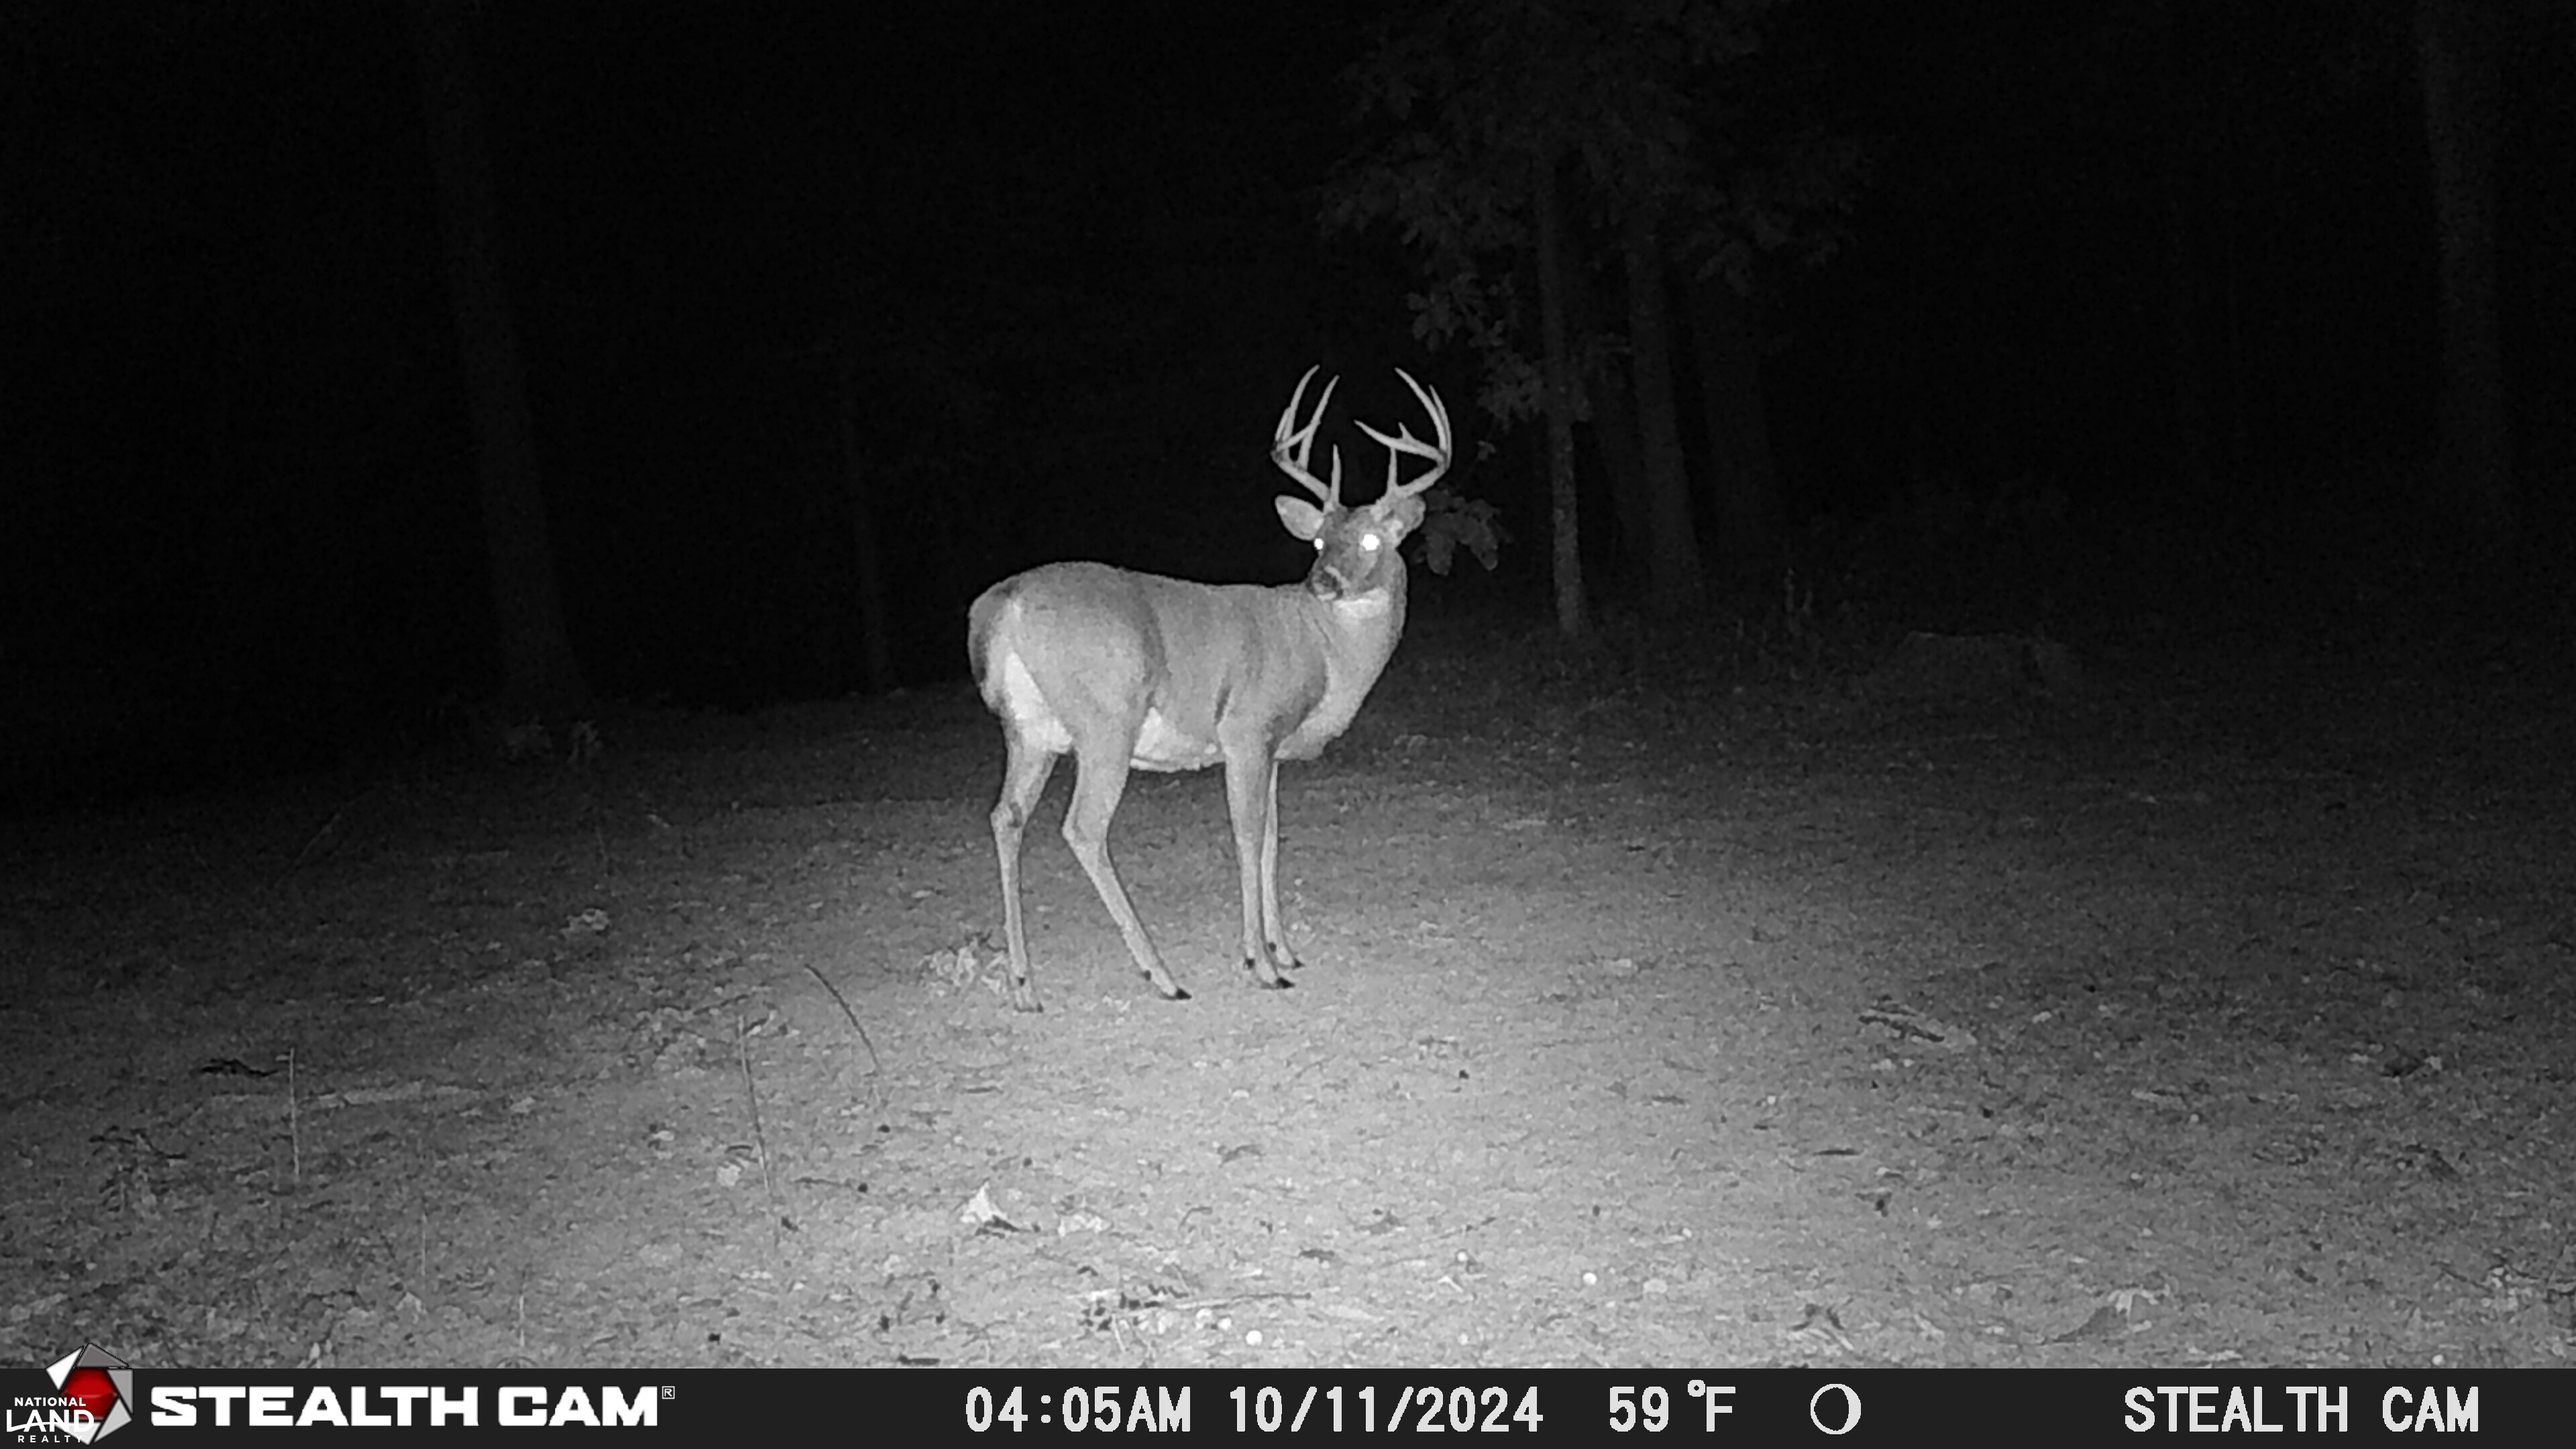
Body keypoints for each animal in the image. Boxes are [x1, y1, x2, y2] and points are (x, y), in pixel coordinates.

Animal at [966, 366, 1452, 1012]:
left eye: (1372, 542)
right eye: (1319, 541)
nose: (1323, 581)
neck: (1321, 646)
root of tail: (1006, 605)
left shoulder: (1272, 749)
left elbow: (1272, 840)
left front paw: (1286, 951)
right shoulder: (1247, 729)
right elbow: (1247, 837)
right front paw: (1261, 964)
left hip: (1030, 731)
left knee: (1006, 817)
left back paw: (1026, 988)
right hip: (1106, 721)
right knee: (1084, 827)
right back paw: (1162, 975)